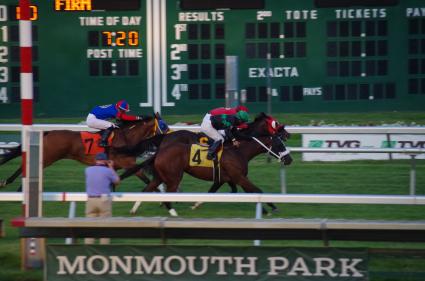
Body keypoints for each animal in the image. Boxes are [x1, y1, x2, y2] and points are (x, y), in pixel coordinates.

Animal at [0, 114, 162, 188]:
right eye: (163, 125)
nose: (166, 133)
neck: (126, 137)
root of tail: (49, 132)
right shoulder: (128, 164)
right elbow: (147, 179)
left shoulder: (117, 166)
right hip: (48, 156)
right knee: (25, 166)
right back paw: (13, 184)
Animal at [122, 111, 292, 214]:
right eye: (276, 124)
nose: (289, 159)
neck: (239, 150)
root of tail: (165, 138)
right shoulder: (238, 176)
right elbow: (255, 190)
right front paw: (271, 208)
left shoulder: (225, 178)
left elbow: (217, 191)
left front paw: (196, 204)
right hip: (173, 174)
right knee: (166, 187)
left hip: (163, 174)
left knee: (149, 187)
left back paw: (137, 207)